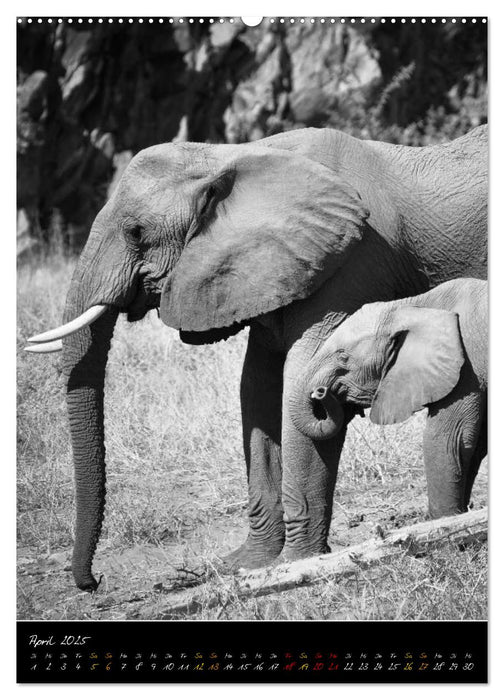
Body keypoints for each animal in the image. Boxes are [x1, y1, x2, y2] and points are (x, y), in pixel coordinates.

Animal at [290, 278, 486, 520]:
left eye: (343, 356)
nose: (320, 392)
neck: (413, 306)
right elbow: (477, 443)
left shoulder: (465, 367)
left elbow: (448, 438)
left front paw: (446, 520)